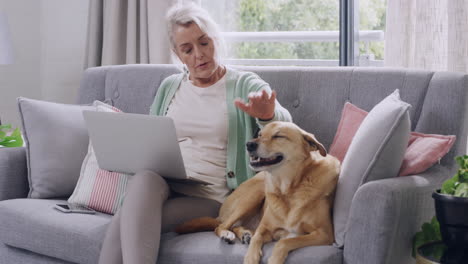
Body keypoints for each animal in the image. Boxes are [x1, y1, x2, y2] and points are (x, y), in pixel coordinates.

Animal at [176, 121, 340, 264]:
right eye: (260, 134)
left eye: (279, 136)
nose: (249, 144)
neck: (289, 189)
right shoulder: (264, 229)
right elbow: (257, 239)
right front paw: (250, 257)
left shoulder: (324, 234)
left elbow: (286, 241)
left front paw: (274, 259)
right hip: (253, 195)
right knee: (221, 226)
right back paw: (229, 234)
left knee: (234, 226)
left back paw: (244, 234)